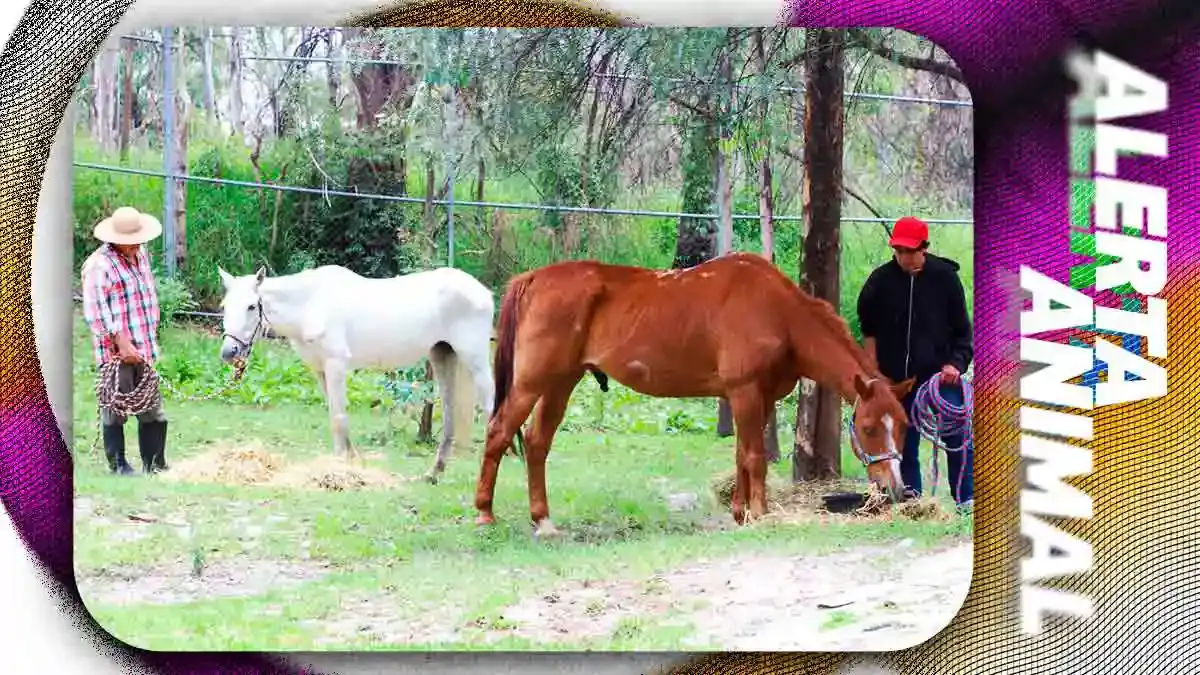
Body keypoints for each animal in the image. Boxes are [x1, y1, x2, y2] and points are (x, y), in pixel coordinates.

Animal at [216, 264, 496, 484]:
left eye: (251, 307)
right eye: (225, 307)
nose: (229, 351)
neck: (311, 304)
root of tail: (483, 292)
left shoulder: (336, 366)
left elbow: (338, 418)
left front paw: (340, 467)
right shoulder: (321, 370)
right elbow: (336, 415)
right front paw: (351, 461)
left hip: (475, 360)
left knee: (490, 405)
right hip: (442, 356)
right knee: (450, 414)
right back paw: (433, 474)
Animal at [474, 252, 915, 536]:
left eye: (904, 426)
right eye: (869, 427)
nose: (895, 488)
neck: (778, 311)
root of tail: (533, 279)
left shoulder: (759, 398)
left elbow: (741, 454)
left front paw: (740, 512)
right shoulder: (744, 392)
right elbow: (754, 457)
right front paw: (760, 513)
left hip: (560, 383)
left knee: (536, 442)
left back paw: (543, 520)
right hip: (532, 383)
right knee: (499, 433)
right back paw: (484, 514)